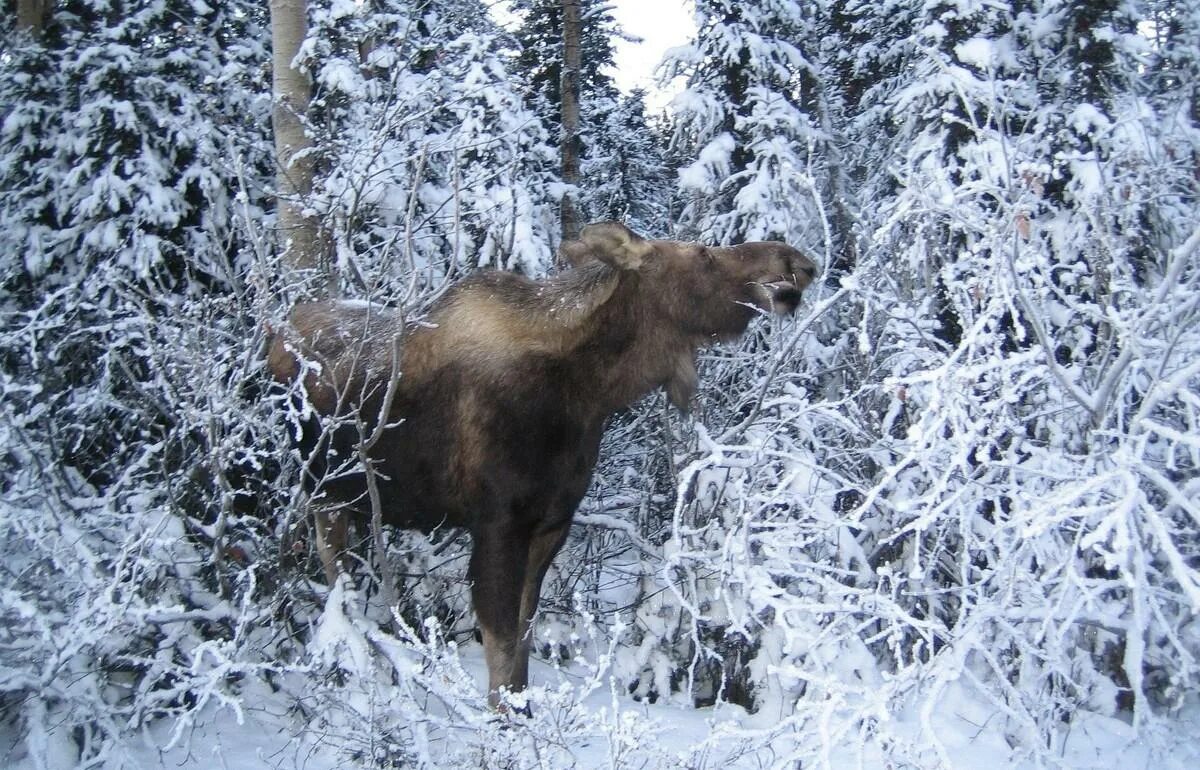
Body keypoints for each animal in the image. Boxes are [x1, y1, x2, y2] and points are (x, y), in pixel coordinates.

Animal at [267, 218, 820, 705]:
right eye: (703, 255)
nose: (800, 261)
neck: (591, 394)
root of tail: (278, 332)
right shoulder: (497, 524)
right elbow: (500, 644)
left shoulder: (552, 523)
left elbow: (525, 640)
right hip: (321, 493)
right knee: (333, 573)